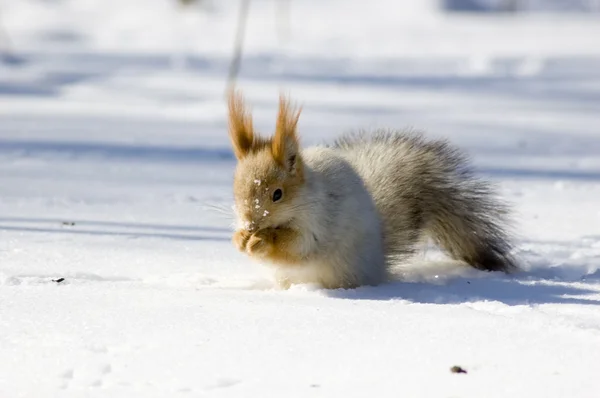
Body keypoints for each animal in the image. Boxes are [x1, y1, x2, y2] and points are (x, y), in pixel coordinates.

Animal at [226, 91, 516, 288]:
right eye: (235, 189)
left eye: (278, 194)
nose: (251, 224)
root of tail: (378, 261)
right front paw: (240, 238)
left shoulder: (319, 221)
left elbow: (297, 245)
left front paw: (262, 240)